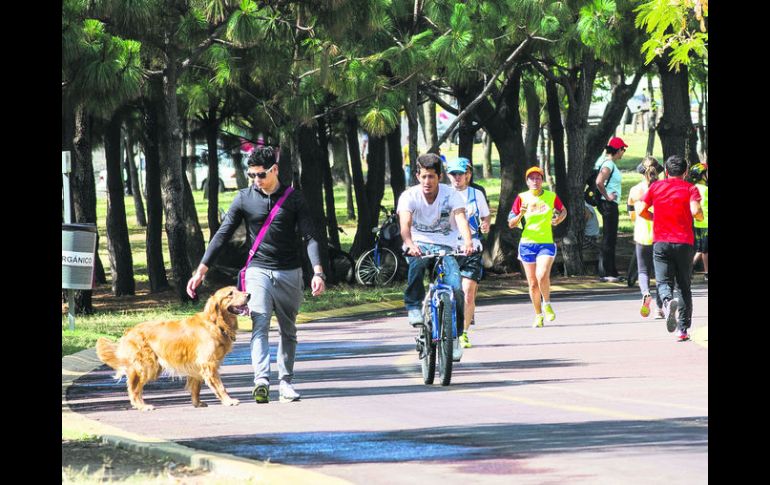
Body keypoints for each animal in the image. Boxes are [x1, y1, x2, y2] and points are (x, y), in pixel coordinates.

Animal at [94, 286, 248, 410]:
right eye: (230, 294)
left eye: (238, 290)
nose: (249, 295)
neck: (216, 323)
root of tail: (129, 331)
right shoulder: (208, 364)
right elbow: (220, 386)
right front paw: (228, 401)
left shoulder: (197, 365)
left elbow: (196, 387)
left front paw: (197, 403)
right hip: (147, 365)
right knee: (134, 389)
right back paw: (142, 406)